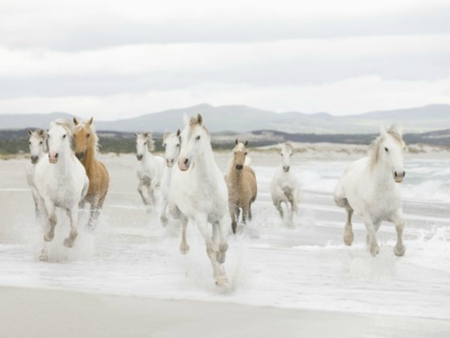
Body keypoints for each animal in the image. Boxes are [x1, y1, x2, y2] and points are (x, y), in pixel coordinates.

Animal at [34, 119, 89, 248]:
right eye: (49, 135)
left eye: (64, 135)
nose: (53, 156)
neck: (62, 179)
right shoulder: (49, 201)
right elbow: (53, 219)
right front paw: (48, 236)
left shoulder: (73, 205)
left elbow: (74, 229)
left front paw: (68, 242)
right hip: (40, 199)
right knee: (45, 218)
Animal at [171, 113, 230, 286]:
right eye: (181, 137)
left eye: (198, 136)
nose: (182, 162)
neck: (209, 185)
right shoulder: (201, 219)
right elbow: (210, 249)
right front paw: (219, 278)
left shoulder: (223, 216)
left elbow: (222, 245)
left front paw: (221, 263)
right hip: (175, 210)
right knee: (183, 221)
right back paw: (184, 248)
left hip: (215, 220)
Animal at [334, 125, 408, 258]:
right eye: (386, 148)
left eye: (403, 147)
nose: (399, 174)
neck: (382, 189)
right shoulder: (368, 216)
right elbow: (370, 231)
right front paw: (374, 249)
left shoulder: (394, 212)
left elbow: (400, 224)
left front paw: (399, 250)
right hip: (339, 199)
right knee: (349, 210)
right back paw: (348, 238)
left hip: (378, 220)